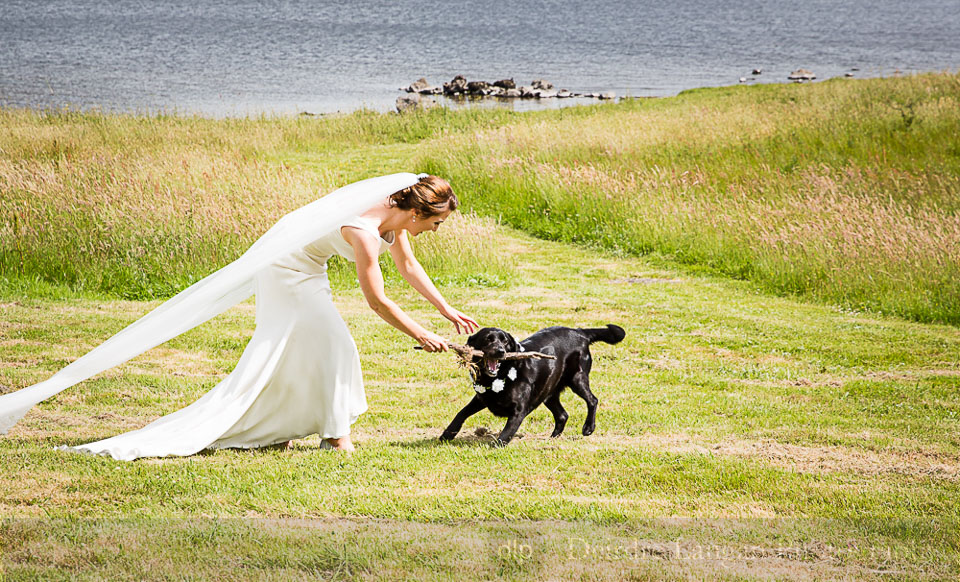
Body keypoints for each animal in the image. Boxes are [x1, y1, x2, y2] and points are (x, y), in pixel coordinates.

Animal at [438, 324, 628, 448]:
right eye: (487, 340)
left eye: (504, 342)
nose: (500, 351)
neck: (499, 376)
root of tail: (579, 332)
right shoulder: (482, 397)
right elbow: (461, 413)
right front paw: (447, 434)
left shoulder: (518, 410)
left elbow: (506, 433)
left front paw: (496, 446)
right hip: (549, 393)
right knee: (562, 415)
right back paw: (552, 438)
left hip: (577, 379)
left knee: (592, 400)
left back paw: (588, 428)